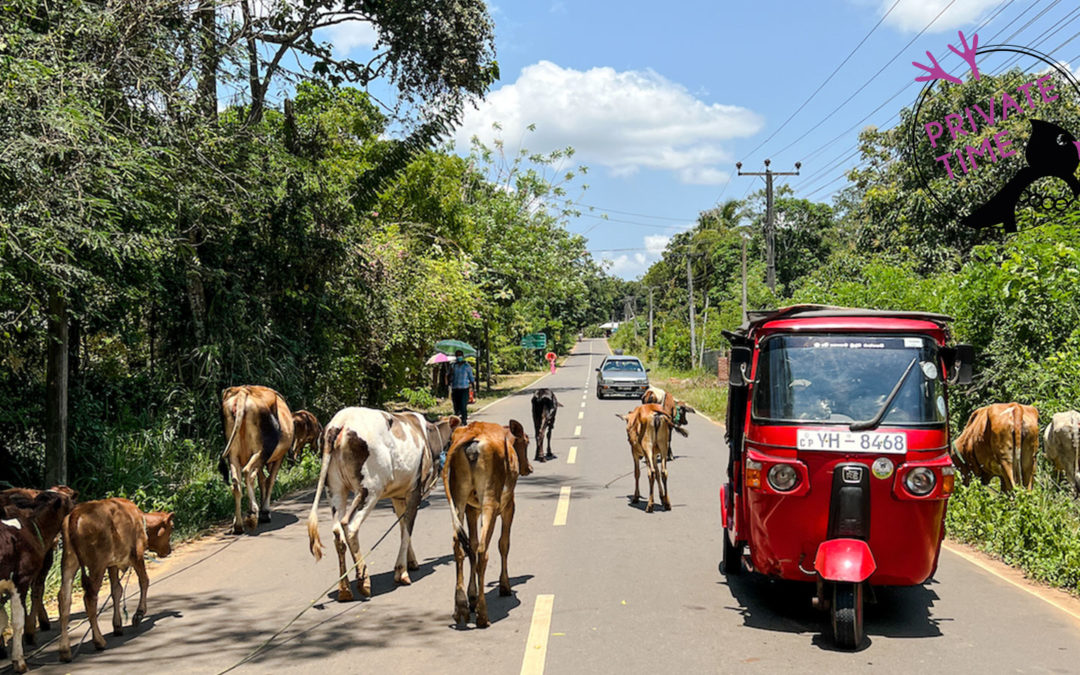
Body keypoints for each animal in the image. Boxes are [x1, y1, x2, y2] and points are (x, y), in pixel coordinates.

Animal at [57, 496, 172, 660]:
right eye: (171, 528)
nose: (169, 550)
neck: (139, 519)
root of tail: (76, 514)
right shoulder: (136, 555)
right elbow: (144, 581)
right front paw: (139, 614)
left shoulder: (112, 564)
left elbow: (116, 590)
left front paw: (117, 625)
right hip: (97, 564)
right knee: (90, 598)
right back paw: (99, 641)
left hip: (68, 562)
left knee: (64, 599)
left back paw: (65, 650)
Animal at [219, 384, 295, 531]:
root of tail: (242, 391)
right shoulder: (278, 458)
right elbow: (269, 480)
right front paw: (265, 512)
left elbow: (261, 480)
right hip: (261, 451)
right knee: (248, 472)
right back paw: (253, 514)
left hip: (233, 454)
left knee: (236, 482)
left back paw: (238, 524)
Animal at [306, 408, 457, 596]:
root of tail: (340, 422)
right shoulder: (415, 491)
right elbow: (407, 529)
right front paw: (402, 572)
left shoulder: (398, 495)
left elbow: (402, 526)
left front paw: (411, 562)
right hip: (370, 490)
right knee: (349, 526)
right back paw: (363, 580)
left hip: (335, 489)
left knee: (337, 532)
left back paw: (345, 589)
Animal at [442, 419, 531, 630]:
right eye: (526, 441)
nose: (529, 468)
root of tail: (471, 435)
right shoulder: (509, 505)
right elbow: (503, 544)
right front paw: (504, 586)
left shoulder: (471, 508)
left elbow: (472, 545)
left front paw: (472, 596)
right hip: (491, 499)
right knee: (483, 550)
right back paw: (482, 615)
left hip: (458, 496)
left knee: (459, 546)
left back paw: (461, 607)